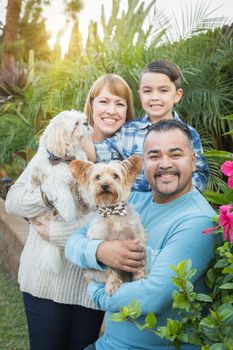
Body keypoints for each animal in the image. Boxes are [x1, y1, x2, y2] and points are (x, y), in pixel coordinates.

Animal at [29, 110, 93, 274]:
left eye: (83, 120)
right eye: (75, 124)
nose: (86, 123)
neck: (67, 158)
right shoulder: (52, 181)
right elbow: (63, 194)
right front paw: (68, 211)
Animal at [70, 154, 147, 294]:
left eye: (115, 176)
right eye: (97, 177)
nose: (105, 185)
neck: (112, 212)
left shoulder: (137, 238)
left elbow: (140, 263)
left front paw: (140, 277)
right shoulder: (106, 247)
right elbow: (111, 269)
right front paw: (113, 283)